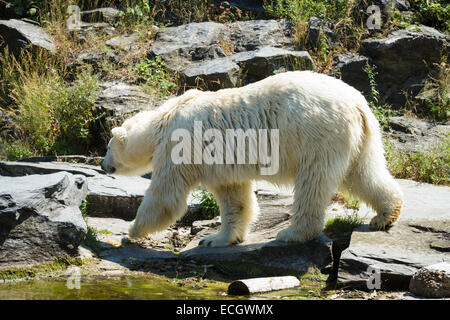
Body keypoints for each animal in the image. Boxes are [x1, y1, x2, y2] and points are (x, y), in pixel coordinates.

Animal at [101, 71, 404, 246]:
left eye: (107, 146)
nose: (102, 165)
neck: (166, 117)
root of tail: (357, 104)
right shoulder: (221, 164)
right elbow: (235, 197)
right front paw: (217, 239)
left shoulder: (180, 146)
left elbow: (165, 197)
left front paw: (132, 230)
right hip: (360, 138)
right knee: (363, 173)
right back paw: (385, 215)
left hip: (316, 133)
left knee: (313, 182)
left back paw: (292, 233)